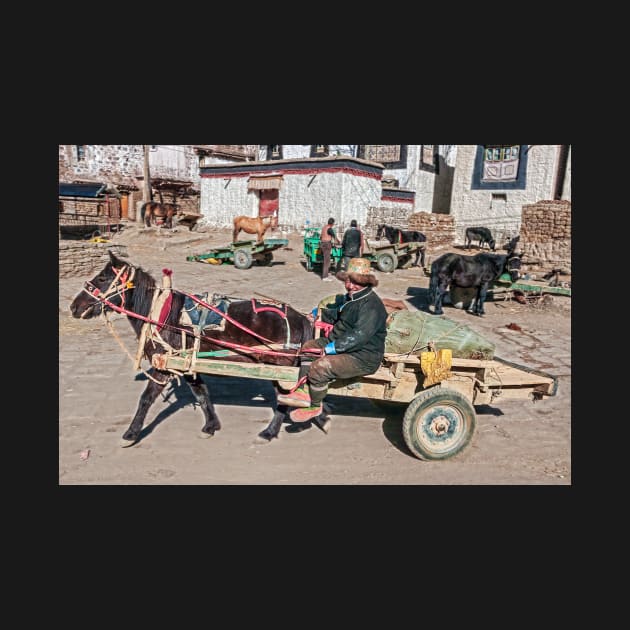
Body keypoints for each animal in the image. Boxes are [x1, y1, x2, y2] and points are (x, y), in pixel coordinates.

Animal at [69, 249, 326, 446]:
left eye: (103, 279)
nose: (74, 307)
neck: (161, 315)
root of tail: (301, 318)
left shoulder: (162, 365)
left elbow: (146, 398)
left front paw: (131, 433)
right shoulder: (187, 363)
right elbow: (201, 393)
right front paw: (211, 425)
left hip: (280, 368)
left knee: (284, 401)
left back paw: (270, 432)